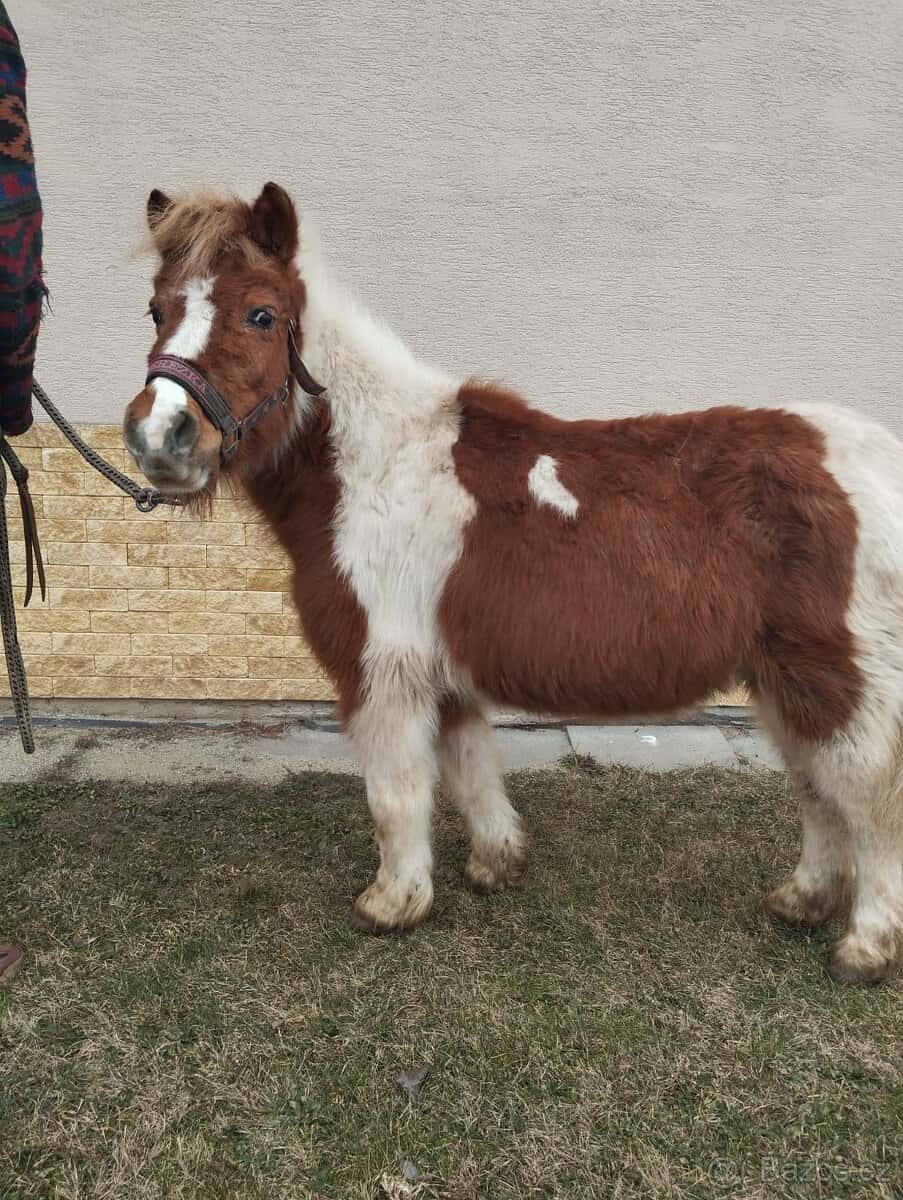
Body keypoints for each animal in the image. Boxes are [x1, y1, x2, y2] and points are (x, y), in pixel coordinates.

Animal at [123, 182, 903, 985]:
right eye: (156, 309)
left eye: (262, 314)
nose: (161, 438)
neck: (375, 467)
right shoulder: (442, 673)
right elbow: (469, 768)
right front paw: (496, 863)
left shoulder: (383, 671)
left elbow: (396, 794)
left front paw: (392, 903)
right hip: (784, 679)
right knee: (816, 788)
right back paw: (803, 900)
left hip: (840, 678)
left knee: (870, 798)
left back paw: (865, 946)